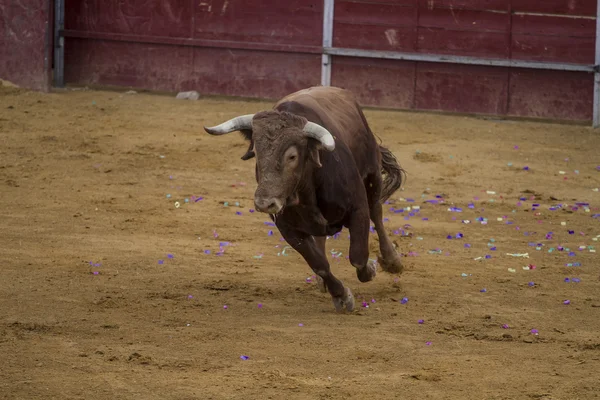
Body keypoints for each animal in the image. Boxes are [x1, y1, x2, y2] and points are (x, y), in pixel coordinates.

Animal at [204, 86, 406, 312]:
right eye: (256, 152)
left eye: (292, 156)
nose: (264, 203)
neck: (307, 187)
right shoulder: (287, 228)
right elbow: (319, 265)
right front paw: (341, 296)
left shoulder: (358, 208)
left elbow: (358, 256)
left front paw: (371, 269)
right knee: (321, 238)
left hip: (373, 174)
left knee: (377, 213)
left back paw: (392, 260)